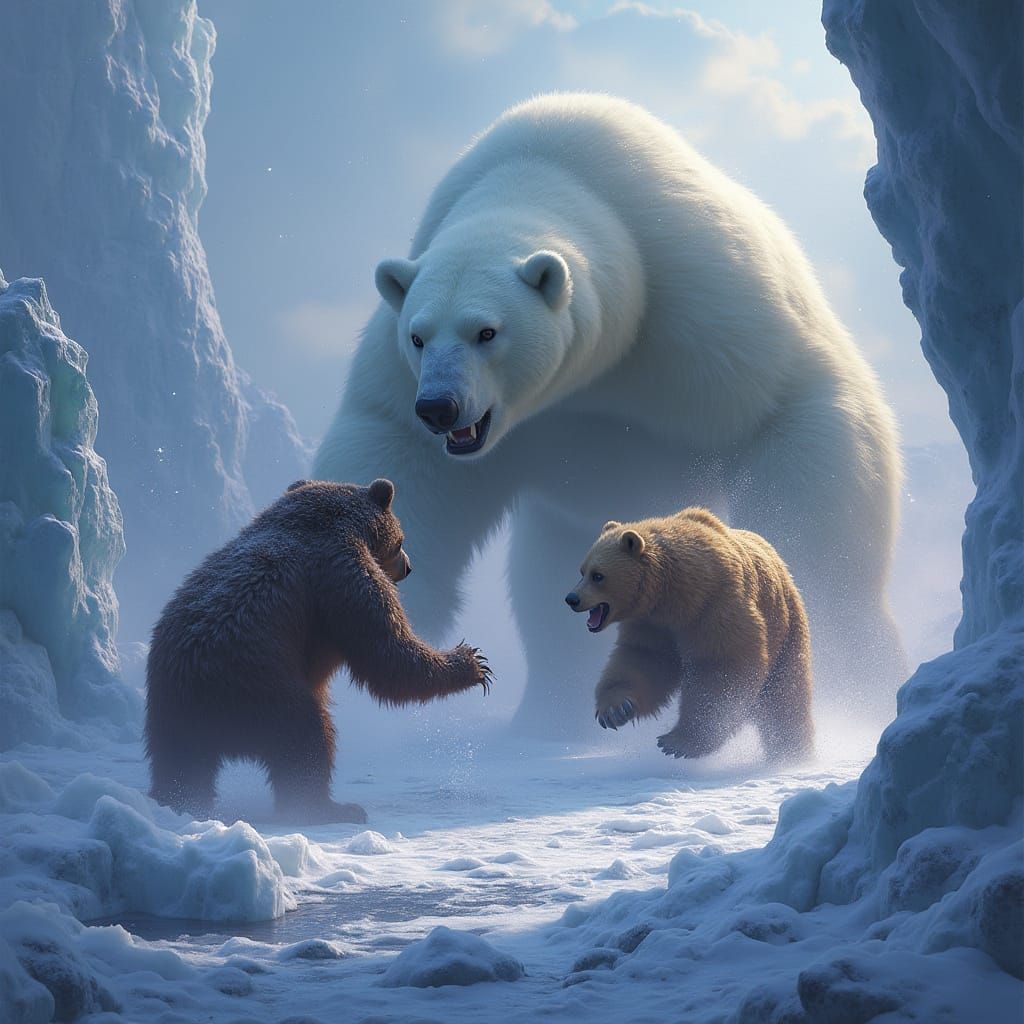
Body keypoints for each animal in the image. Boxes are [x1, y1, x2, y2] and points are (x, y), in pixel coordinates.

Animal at [144, 478, 492, 824]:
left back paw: (181, 801)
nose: (409, 566)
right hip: (260, 689)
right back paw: (330, 807)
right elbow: (387, 653)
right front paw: (472, 662)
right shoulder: (344, 577)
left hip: (171, 712)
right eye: (401, 539)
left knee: (181, 764)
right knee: (308, 737)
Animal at [313, 92, 904, 735]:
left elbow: (793, 412)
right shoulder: (403, 379)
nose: (440, 408)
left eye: (486, 331)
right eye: (419, 336)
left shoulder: (703, 301)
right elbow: (397, 459)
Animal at [566, 509, 814, 762]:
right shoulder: (652, 622)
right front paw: (616, 710)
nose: (571, 599)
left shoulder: (715, 606)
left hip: (786, 630)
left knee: (783, 700)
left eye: (598, 576)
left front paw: (678, 741)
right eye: (581, 571)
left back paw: (791, 752)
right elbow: (644, 658)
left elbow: (721, 665)